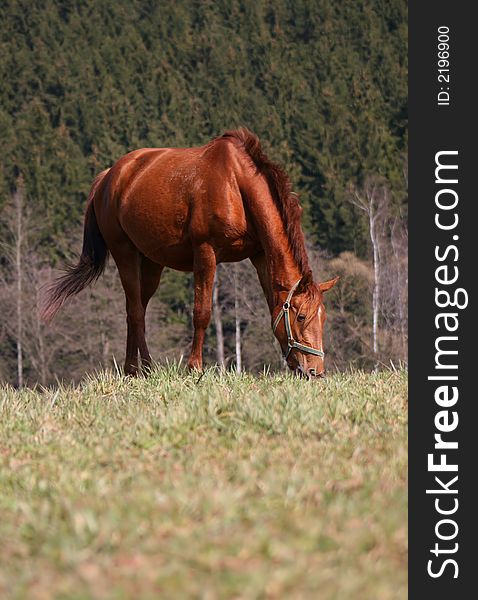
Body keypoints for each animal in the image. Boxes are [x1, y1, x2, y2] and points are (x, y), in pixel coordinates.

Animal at [43, 128, 338, 378]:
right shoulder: (205, 253)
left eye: (323, 316)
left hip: (151, 262)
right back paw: (140, 369)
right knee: (134, 310)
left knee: (138, 309)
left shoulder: (260, 255)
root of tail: (108, 176)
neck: (236, 184)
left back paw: (138, 369)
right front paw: (194, 367)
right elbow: (202, 312)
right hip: (123, 251)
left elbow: (271, 305)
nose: (315, 371)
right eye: (302, 316)